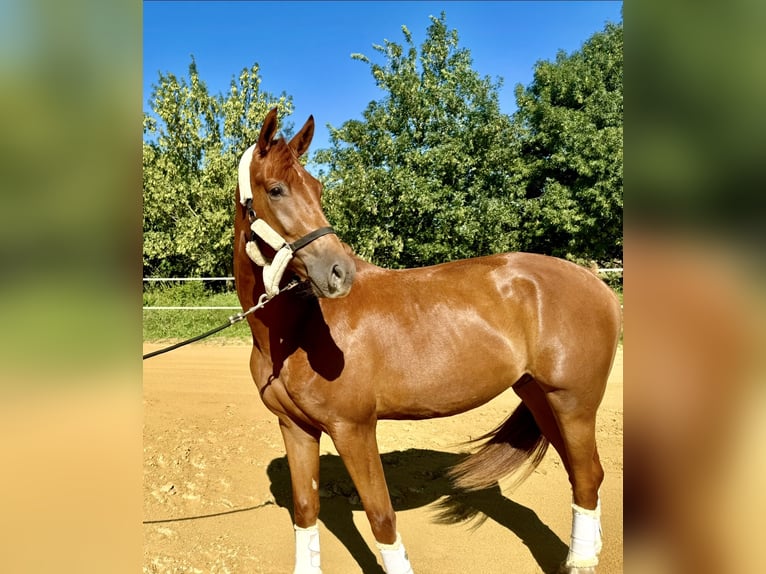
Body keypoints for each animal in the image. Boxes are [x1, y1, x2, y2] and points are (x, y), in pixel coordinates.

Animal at [234, 109, 624, 574]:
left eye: (318, 188)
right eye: (276, 189)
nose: (338, 272)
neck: (296, 331)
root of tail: (595, 281)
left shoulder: (354, 429)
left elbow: (381, 516)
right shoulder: (295, 428)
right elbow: (306, 510)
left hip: (574, 402)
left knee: (587, 476)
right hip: (540, 398)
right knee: (582, 475)